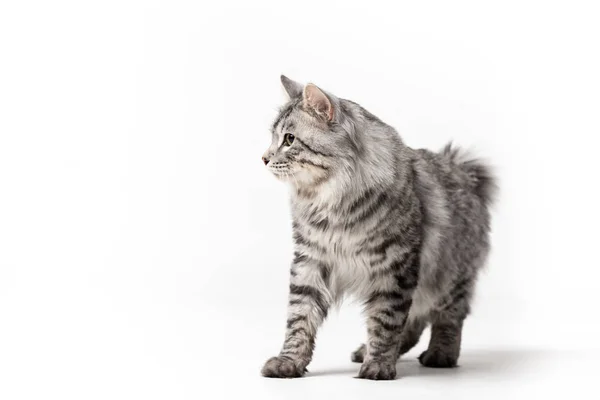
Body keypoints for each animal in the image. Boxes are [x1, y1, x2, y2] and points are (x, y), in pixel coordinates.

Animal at [260, 76, 494, 382]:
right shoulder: (310, 262)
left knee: (448, 318)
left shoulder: (393, 268)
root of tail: (462, 170)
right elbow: (299, 319)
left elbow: (385, 321)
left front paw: (378, 366)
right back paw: (366, 351)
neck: (332, 203)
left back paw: (440, 355)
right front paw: (289, 361)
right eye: (273, 138)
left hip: (451, 277)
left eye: (289, 139)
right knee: (415, 321)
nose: (263, 158)